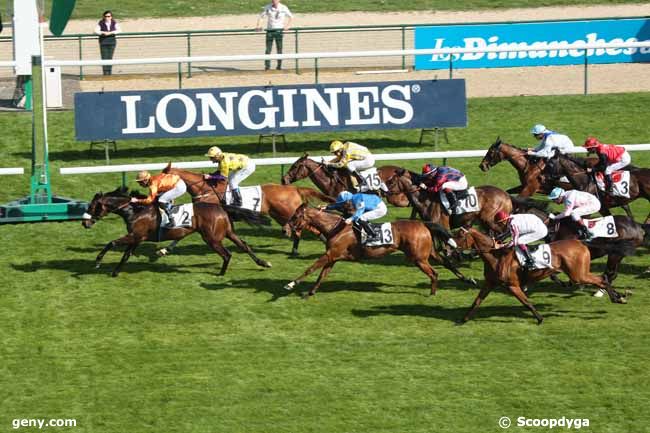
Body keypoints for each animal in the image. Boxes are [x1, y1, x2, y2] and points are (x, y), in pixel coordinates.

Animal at [81, 186, 270, 276]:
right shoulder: (137, 238)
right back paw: (263, 263)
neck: (135, 210)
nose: (85, 223)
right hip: (228, 232)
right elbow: (126, 255)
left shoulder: (135, 235)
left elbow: (111, 243)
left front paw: (97, 262)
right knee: (244, 245)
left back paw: (221, 273)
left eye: (92, 207)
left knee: (227, 254)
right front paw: (115, 272)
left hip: (212, 238)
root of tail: (221, 208)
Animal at [158, 164, 334, 255]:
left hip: (287, 214)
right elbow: (182, 234)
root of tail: (294, 188)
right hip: (280, 216)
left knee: (306, 228)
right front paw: (166, 249)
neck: (205, 189)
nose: (158, 195)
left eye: (162, 178)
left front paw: (165, 249)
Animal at [280, 203, 458, 296]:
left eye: (295, 217)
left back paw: (432, 293)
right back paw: (462, 279)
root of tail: (423, 223)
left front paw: (290, 284)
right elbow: (321, 275)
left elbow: (311, 268)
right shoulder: (333, 257)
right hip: (428, 254)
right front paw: (310, 293)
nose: (284, 229)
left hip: (418, 258)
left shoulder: (330, 254)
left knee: (434, 273)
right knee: (447, 264)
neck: (335, 228)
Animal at [448, 226, 624, 324]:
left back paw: (617, 298)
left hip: (578, 275)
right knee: (603, 278)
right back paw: (618, 296)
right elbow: (476, 301)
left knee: (601, 279)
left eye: (459, 235)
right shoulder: (489, 283)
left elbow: (526, 302)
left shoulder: (512, 285)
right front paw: (463, 320)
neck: (496, 256)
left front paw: (539, 318)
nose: (449, 248)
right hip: (579, 273)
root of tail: (580, 242)